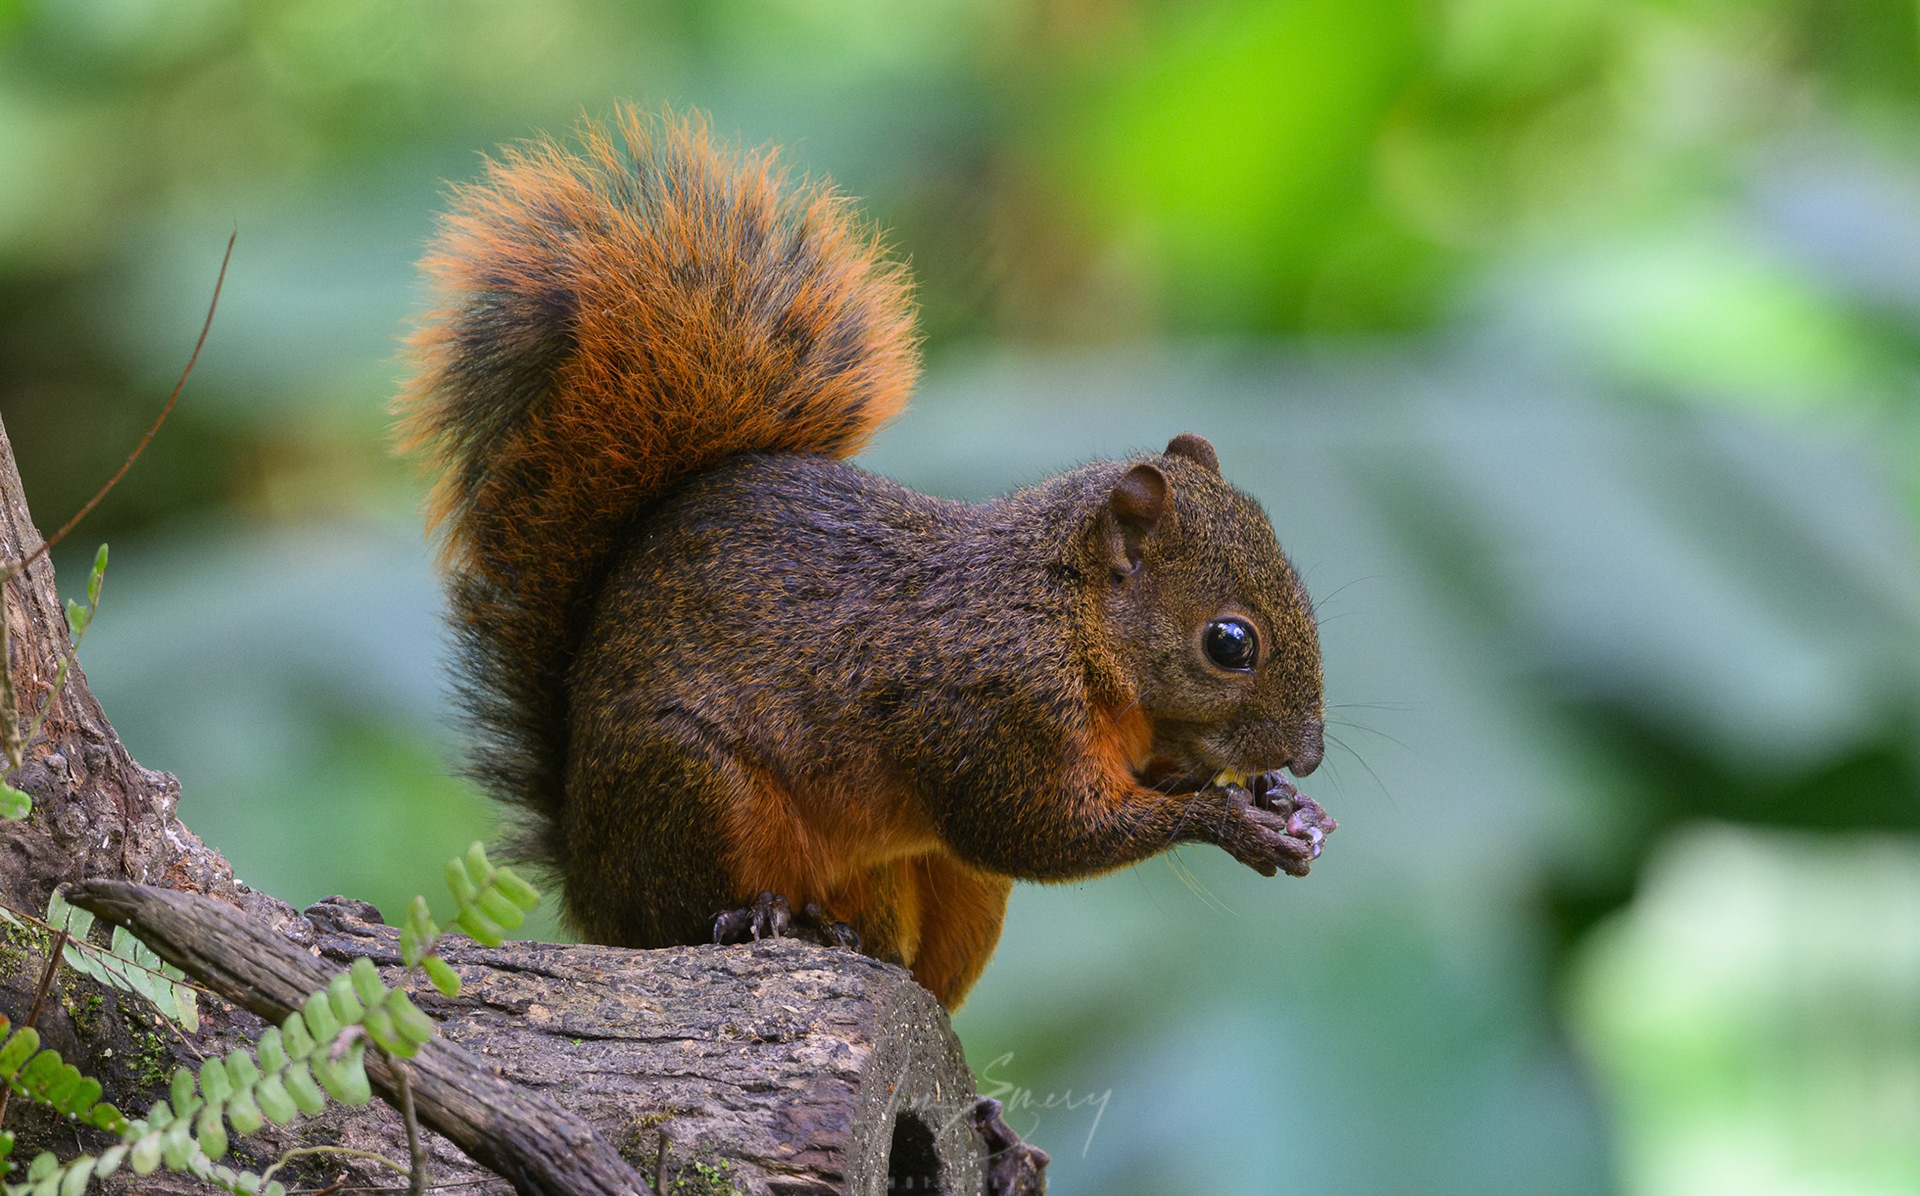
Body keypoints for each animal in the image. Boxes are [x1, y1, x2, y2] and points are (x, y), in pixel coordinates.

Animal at [393, 107, 1335, 1010]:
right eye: (1229, 643)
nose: (1310, 754)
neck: (1064, 618)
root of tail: (586, 875)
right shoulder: (994, 712)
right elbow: (1041, 833)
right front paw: (1228, 821)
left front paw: (1275, 799)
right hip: (693, 788)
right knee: (680, 918)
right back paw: (765, 917)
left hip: (945, 890)